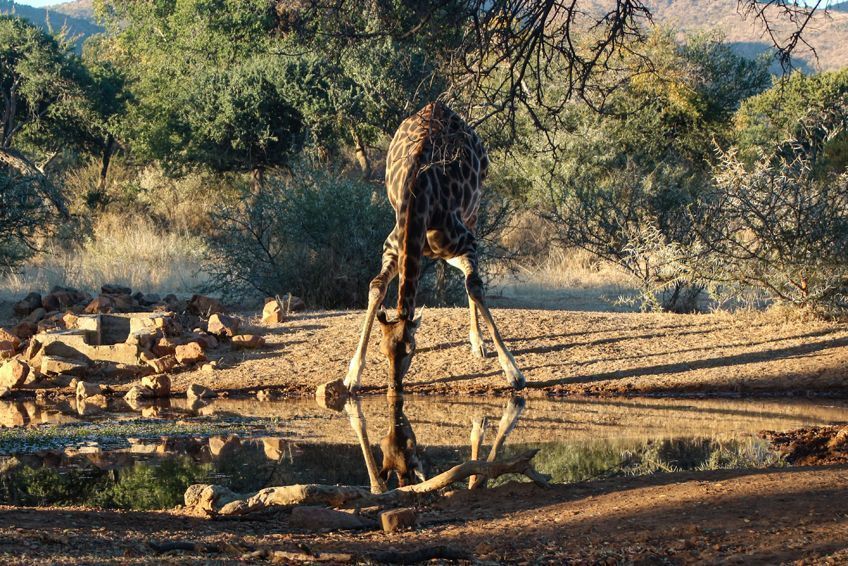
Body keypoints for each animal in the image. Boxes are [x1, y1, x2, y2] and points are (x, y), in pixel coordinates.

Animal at [342, 101, 528, 394]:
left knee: (469, 277)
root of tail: (437, 105)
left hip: (474, 209)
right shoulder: (392, 247)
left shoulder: (466, 241)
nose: (394, 385)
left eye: (411, 349)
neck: (418, 202)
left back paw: (478, 343)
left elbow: (474, 286)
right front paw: (352, 374)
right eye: (382, 350)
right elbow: (376, 287)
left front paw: (513, 370)